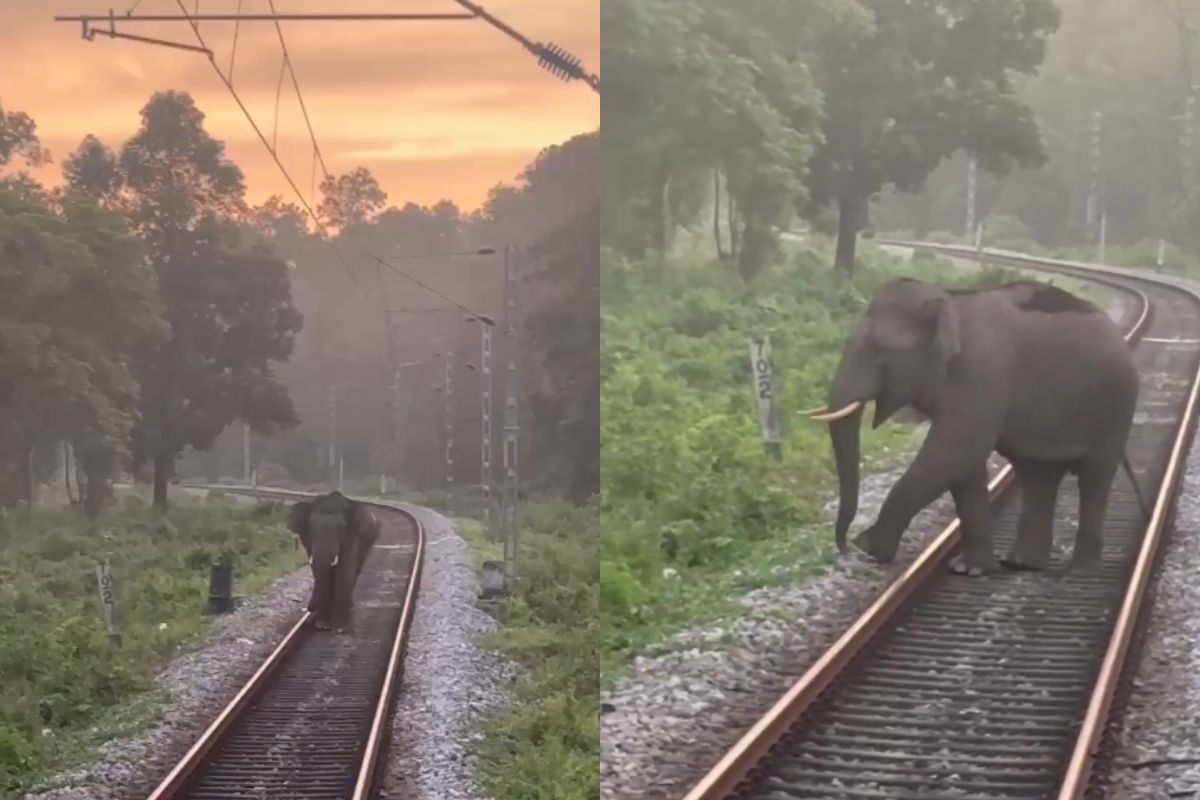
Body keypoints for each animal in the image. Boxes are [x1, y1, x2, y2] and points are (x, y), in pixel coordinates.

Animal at [286, 491, 381, 631]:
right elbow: (319, 572)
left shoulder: (351, 538)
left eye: (342, 527)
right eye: (311, 527)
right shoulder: (308, 540)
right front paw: (322, 626)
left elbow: (345, 573)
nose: (310, 607)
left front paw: (341, 629)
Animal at [803, 277, 1143, 576]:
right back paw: (1022, 564)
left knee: (1094, 477)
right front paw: (968, 569)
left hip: (1116, 406)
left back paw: (1080, 571)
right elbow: (963, 465)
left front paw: (868, 547)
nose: (844, 548)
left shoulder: (981, 373)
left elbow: (953, 452)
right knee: (1038, 475)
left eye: (879, 349)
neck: (948, 299)